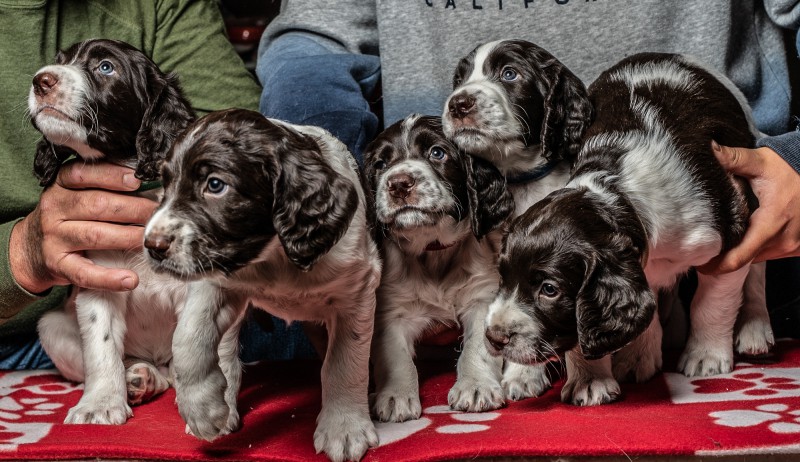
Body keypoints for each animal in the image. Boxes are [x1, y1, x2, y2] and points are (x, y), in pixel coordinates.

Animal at [33, 38, 197, 424]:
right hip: (51, 327)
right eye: (60, 61)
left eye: (105, 67)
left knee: (173, 369)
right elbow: (102, 347)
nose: (40, 80)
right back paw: (139, 379)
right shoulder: (99, 279)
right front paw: (100, 404)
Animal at [145, 109, 382, 462]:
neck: (276, 256)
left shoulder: (357, 290)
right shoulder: (218, 280)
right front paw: (202, 408)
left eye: (215, 185)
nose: (153, 246)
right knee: (225, 350)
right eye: (165, 182)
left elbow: (344, 361)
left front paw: (345, 428)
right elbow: (189, 335)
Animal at [362, 113, 520, 420]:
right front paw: (395, 395)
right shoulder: (392, 310)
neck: (433, 251)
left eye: (437, 153)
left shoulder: (481, 297)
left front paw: (476, 387)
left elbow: (476, 347)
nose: (398, 183)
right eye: (380, 165)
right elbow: (394, 356)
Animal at [484, 52, 772, 408]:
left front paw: (706, 356)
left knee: (757, 272)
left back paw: (754, 328)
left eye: (549, 290)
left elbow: (712, 302)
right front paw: (592, 379)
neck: (617, 195)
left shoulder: (731, 232)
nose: (494, 338)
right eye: (503, 277)